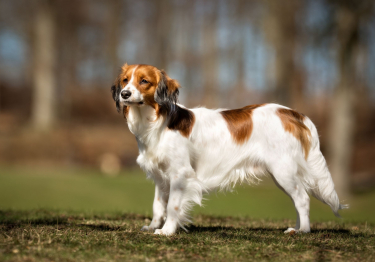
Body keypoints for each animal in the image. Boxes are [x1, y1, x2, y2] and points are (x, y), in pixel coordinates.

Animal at [110, 63, 348, 235]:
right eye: (125, 80)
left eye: (144, 81)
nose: (124, 94)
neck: (156, 122)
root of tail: (292, 113)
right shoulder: (161, 176)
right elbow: (158, 205)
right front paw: (152, 227)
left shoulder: (180, 174)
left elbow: (172, 207)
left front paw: (166, 231)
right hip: (282, 175)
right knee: (298, 199)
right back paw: (297, 228)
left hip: (283, 171)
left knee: (303, 199)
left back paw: (303, 231)